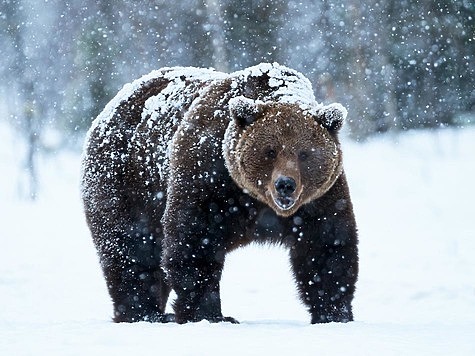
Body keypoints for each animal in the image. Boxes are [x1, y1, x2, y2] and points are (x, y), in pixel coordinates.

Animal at [81, 62, 356, 324]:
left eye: (304, 154)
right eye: (270, 151)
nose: (285, 184)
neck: (256, 200)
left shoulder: (319, 198)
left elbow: (327, 247)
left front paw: (334, 313)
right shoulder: (208, 176)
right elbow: (194, 241)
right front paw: (210, 314)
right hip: (126, 183)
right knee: (131, 249)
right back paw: (144, 313)